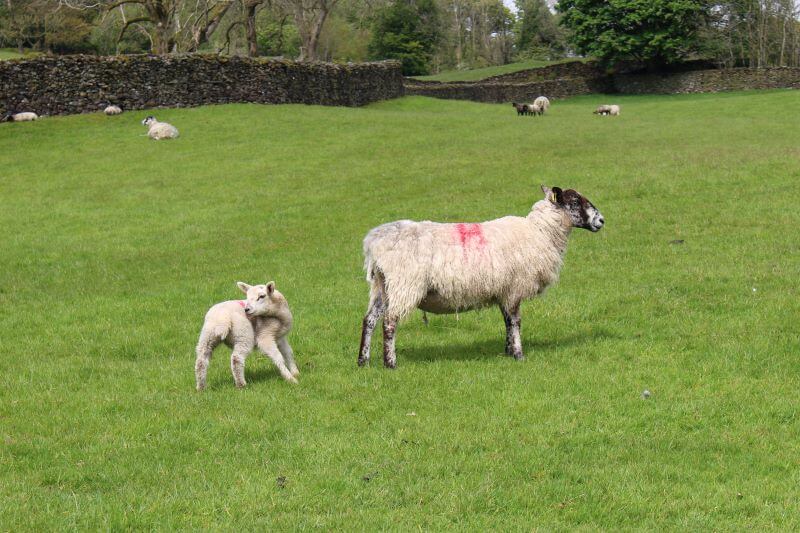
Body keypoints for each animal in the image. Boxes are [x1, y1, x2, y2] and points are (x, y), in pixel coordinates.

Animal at [358, 185, 608, 368]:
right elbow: (516, 321)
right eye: (574, 202)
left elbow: (507, 321)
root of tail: (373, 242)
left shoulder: (504, 290)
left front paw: (508, 351)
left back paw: (363, 361)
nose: (601, 221)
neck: (540, 232)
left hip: (382, 286)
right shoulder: (514, 287)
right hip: (404, 285)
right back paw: (390, 363)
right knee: (389, 322)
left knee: (369, 320)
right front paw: (519, 354)